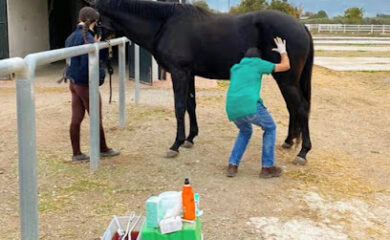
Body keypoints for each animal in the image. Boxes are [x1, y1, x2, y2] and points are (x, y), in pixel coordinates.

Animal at [93, 0, 312, 163]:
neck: (165, 24)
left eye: (95, 21)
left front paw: (176, 144)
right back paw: (289, 141)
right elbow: (191, 105)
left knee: (301, 108)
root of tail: (300, 25)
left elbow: (179, 107)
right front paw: (190, 139)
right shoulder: (189, 74)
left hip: (286, 79)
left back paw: (303, 152)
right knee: (293, 108)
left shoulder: (179, 73)